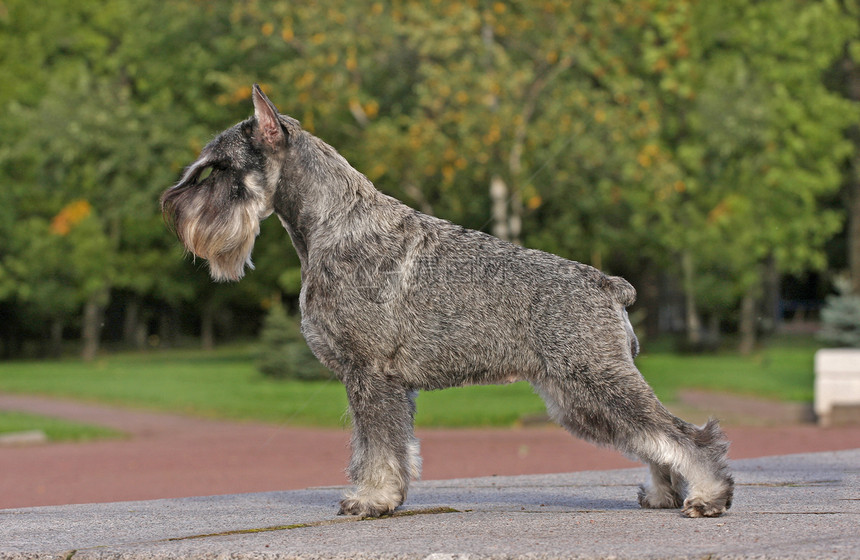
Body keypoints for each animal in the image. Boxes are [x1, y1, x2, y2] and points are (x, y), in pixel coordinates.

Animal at [161, 85, 732, 520]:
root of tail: (608, 284)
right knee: (652, 438)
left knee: (684, 435)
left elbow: (378, 447)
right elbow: (378, 446)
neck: (332, 224)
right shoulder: (377, 380)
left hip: (595, 381)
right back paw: (661, 495)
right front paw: (379, 496)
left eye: (220, 168)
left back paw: (707, 497)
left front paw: (371, 500)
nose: (171, 207)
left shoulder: (370, 374)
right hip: (580, 397)